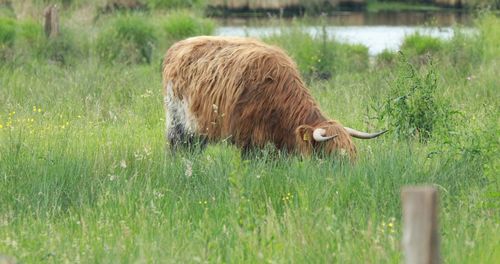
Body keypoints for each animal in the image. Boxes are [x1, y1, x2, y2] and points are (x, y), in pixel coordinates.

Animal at [162, 36, 384, 160]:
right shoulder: (248, 138)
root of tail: (178, 46)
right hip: (177, 120)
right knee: (177, 145)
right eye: (334, 155)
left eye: (353, 154)